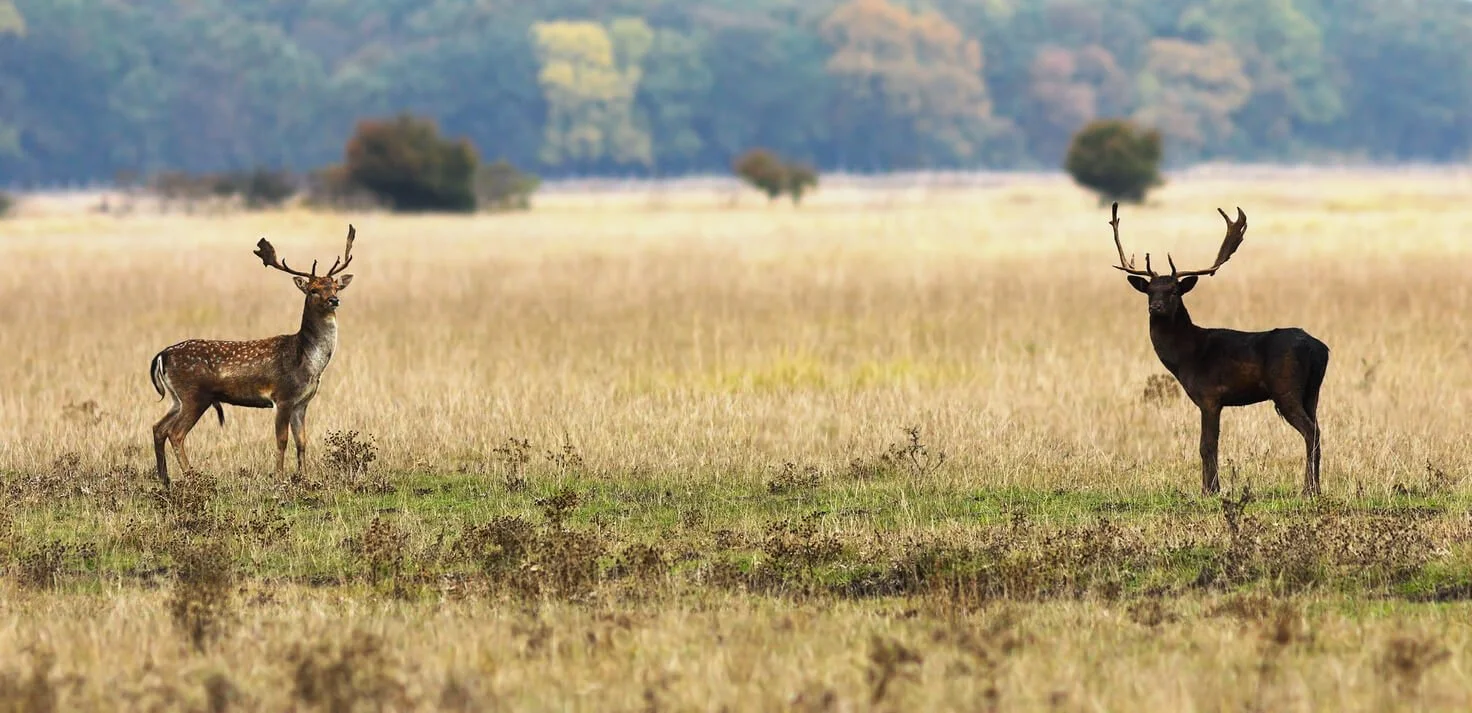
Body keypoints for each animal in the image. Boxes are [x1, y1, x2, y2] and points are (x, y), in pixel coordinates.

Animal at [149, 225, 356, 488]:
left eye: (335, 286)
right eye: (313, 290)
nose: (334, 300)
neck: (308, 361)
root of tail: (162, 355)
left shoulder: (302, 402)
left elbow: (302, 441)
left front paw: (305, 479)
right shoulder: (283, 396)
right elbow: (282, 440)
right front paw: (279, 479)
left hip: (177, 398)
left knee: (158, 427)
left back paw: (165, 479)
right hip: (195, 395)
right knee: (175, 433)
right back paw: (193, 478)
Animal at [1107, 203, 1330, 497]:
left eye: (1174, 290)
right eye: (1150, 291)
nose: (1155, 307)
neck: (1186, 357)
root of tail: (1320, 349)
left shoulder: (1210, 395)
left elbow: (1207, 445)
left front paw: (1210, 490)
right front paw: (1211, 487)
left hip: (1286, 388)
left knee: (1310, 431)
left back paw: (1307, 490)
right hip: (1312, 391)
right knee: (1318, 428)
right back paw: (1316, 488)